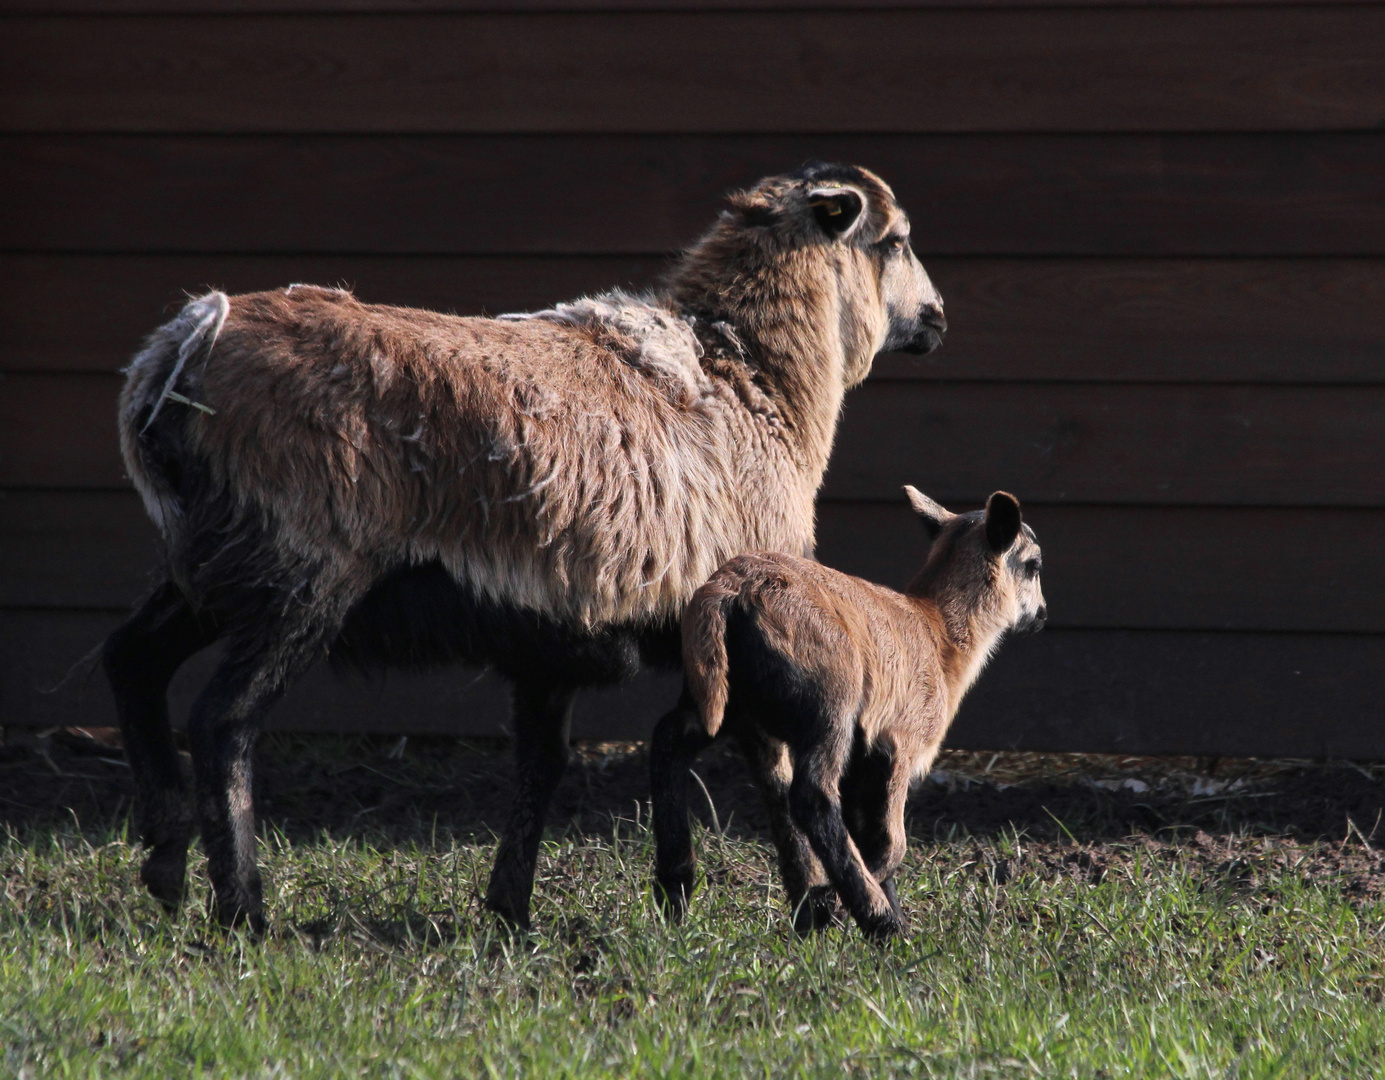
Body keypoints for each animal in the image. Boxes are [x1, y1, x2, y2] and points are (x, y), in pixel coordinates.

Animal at [102, 162, 947, 936]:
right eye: (896, 240)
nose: (937, 318)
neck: (753, 376)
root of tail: (186, 343)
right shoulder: (745, 621)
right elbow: (769, 768)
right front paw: (811, 902)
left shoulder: (551, 642)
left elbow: (543, 766)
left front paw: (512, 908)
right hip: (303, 571)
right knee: (222, 721)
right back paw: (241, 906)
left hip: (217, 557)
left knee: (131, 657)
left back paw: (165, 858)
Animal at [653, 484, 1041, 941]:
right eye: (1034, 565)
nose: (1042, 616)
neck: (940, 633)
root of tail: (728, 590)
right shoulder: (899, 743)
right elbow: (891, 842)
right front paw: (861, 911)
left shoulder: (865, 757)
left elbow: (866, 831)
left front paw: (883, 918)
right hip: (829, 699)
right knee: (812, 795)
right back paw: (869, 915)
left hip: (720, 694)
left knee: (673, 743)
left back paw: (678, 891)